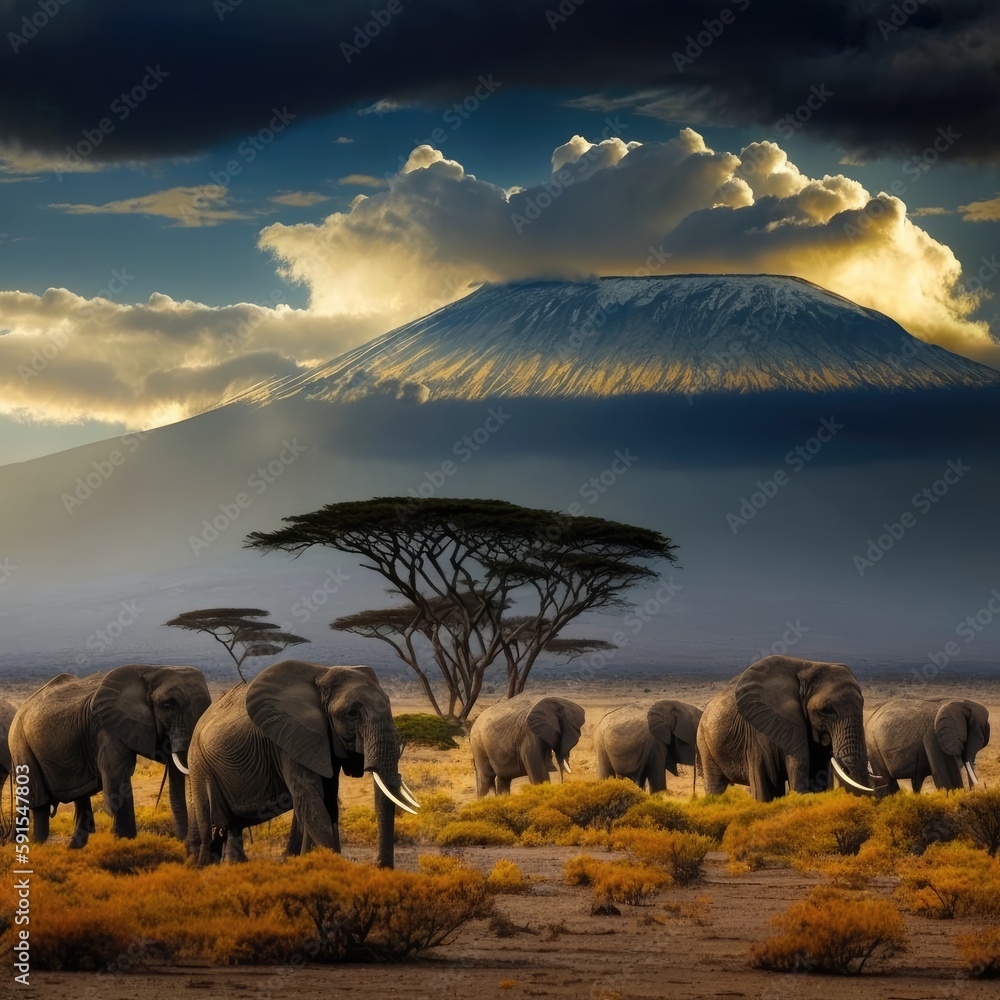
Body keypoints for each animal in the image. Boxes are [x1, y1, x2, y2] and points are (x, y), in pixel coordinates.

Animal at [7, 668, 212, 848]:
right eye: (168, 706)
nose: (184, 843)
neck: (150, 670)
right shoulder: (106, 729)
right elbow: (116, 785)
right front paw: (124, 842)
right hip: (19, 742)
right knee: (38, 802)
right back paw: (35, 847)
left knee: (80, 796)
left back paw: (73, 848)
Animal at [186, 656, 416, 868]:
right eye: (352, 713)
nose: (378, 866)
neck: (323, 673)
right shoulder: (292, 736)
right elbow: (309, 798)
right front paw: (331, 865)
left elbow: (327, 800)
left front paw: (304, 861)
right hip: (198, 762)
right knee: (207, 820)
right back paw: (202, 867)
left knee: (232, 826)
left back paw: (235, 865)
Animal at [696, 656, 876, 804]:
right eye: (827, 711)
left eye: (862, 704)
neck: (808, 667)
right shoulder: (764, 728)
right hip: (704, 741)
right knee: (716, 784)